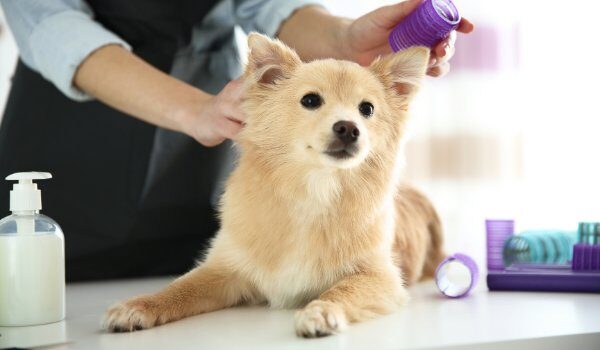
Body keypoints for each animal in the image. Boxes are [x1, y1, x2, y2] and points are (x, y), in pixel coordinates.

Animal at [102, 32, 446, 336]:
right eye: (310, 100)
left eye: (367, 109)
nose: (349, 128)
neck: (314, 189)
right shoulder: (224, 270)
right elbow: (179, 288)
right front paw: (139, 306)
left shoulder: (379, 277)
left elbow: (341, 291)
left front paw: (321, 311)